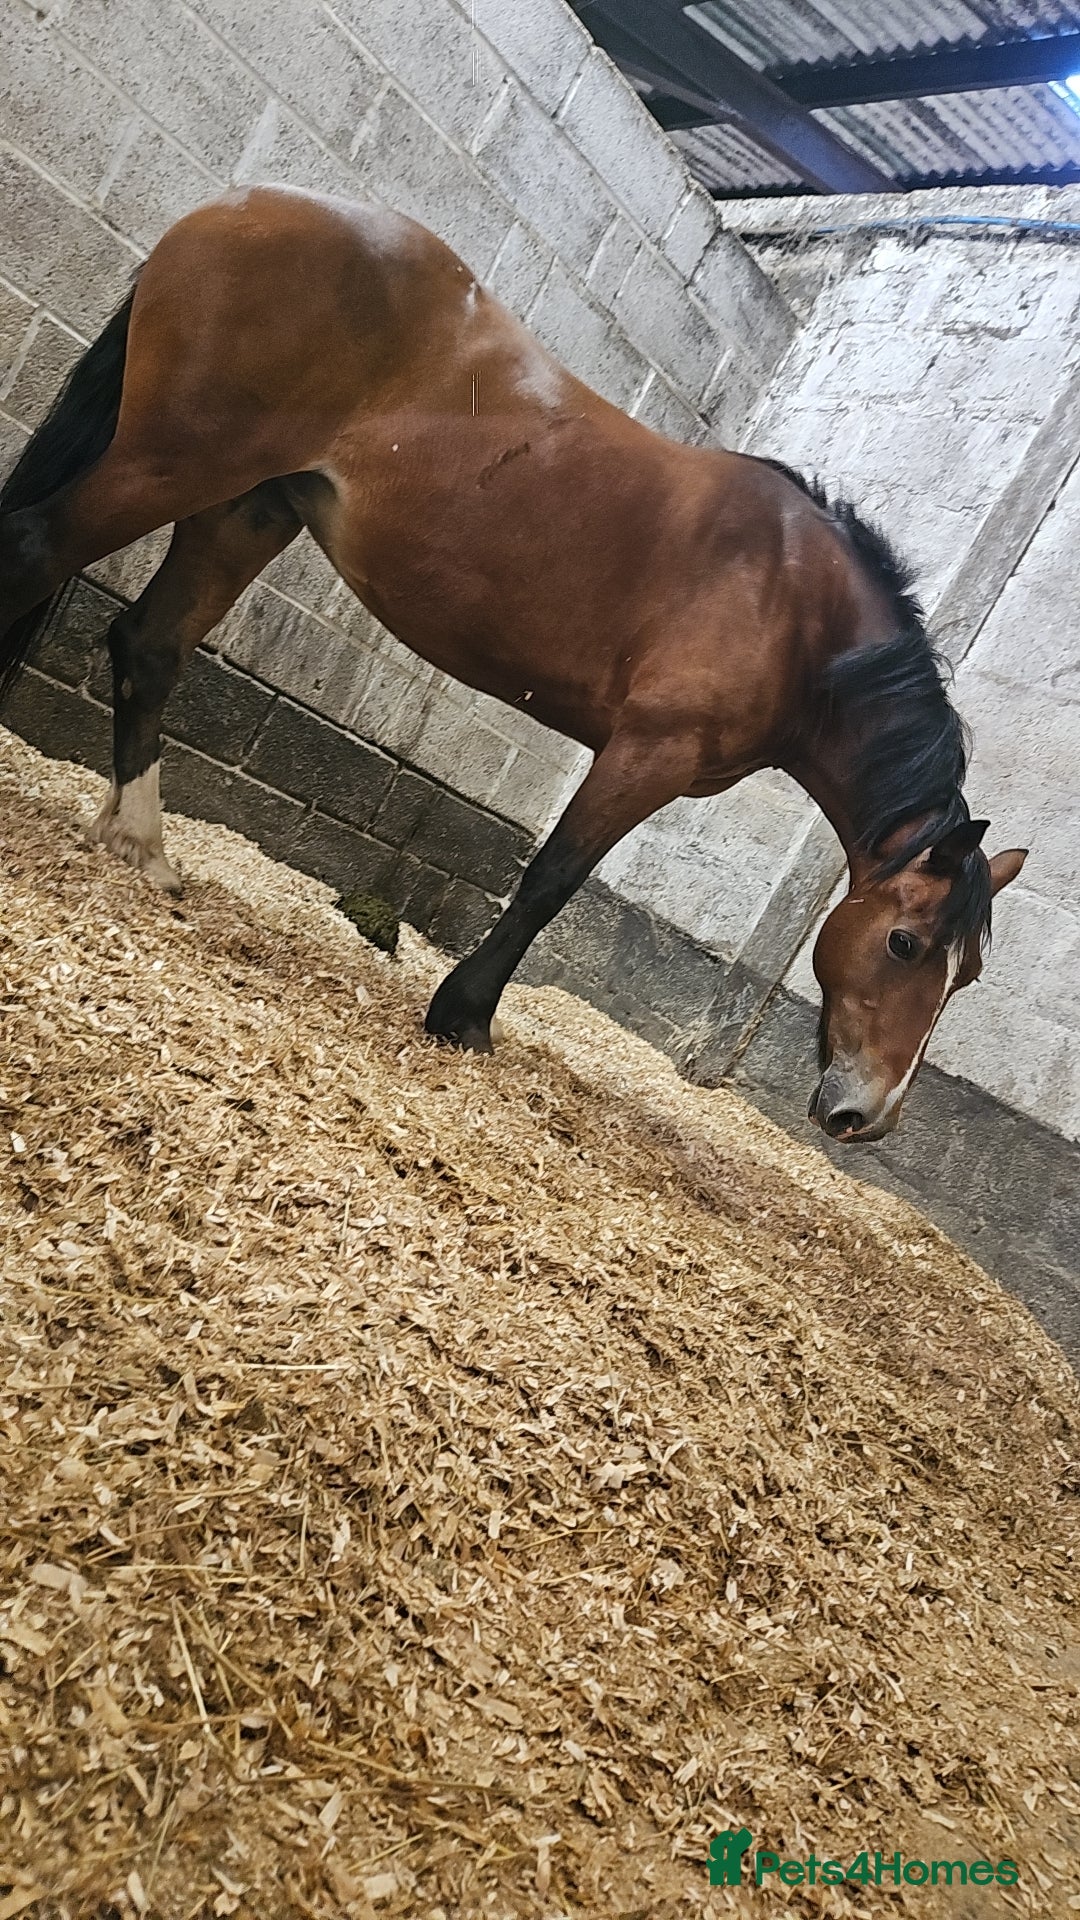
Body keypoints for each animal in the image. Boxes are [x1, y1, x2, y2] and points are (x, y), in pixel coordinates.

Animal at [0, 185, 1027, 1143]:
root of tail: (241, 205)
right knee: (33, 552)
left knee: (150, 648)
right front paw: (463, 1017)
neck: (795, 609)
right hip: (172, 465)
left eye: (967, 974)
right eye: (903, 944)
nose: (867, 1114)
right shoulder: (648, 752)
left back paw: (141, 847)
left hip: (247, 505)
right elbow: (551, 882)